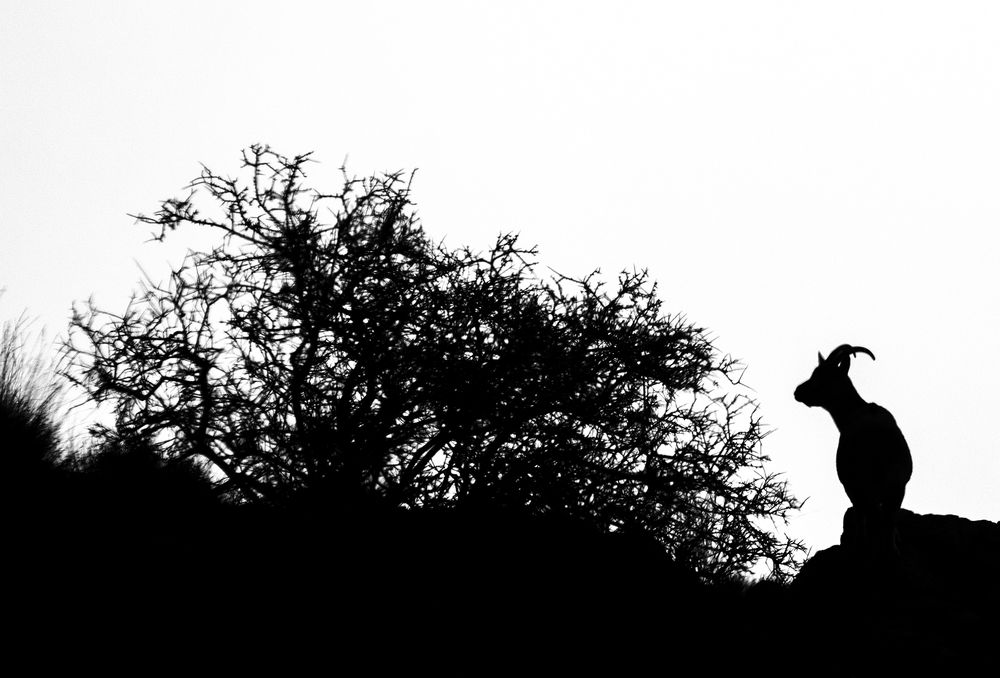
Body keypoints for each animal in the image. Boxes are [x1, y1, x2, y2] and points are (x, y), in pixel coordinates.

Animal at [794, 345, 913, 559]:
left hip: (864, 486)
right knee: (887, 521)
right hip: (896, 487)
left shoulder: (851, 486)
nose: (798, 391)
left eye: (821, 375)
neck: (853, 411)